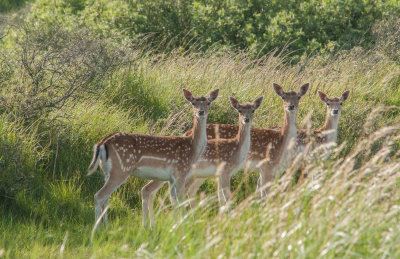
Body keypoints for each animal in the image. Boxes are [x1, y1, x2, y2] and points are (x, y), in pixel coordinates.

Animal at [87, 88, 220, 229]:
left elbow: (174, 200)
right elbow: (181, 200)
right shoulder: (181, 172)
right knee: (99, 196)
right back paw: (97, 229)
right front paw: (184, 225)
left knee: (105, 198)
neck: (192, 149)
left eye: (208, 103)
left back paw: (106, 226)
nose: (201, 112)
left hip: (106, 172)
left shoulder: (172, 178)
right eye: (193, 103)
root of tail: (102, 143)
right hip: (121, 169)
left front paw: (176, 225)